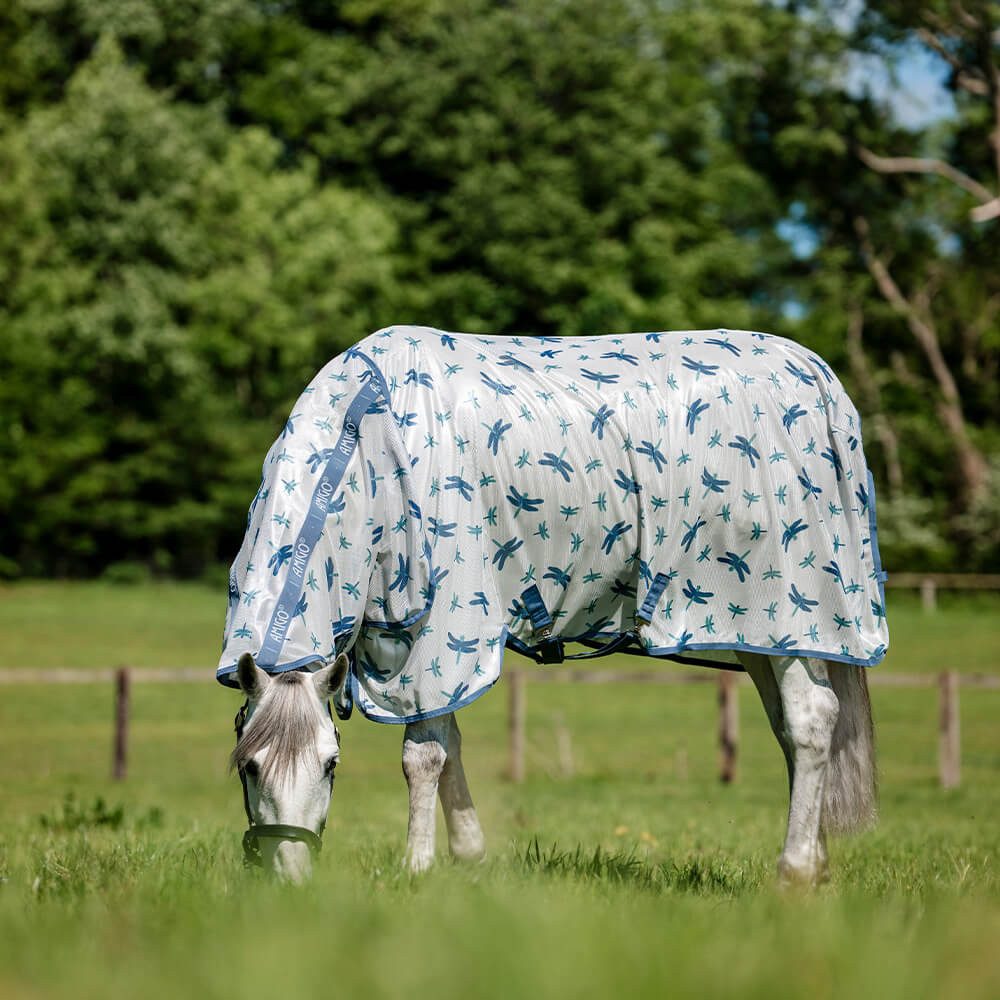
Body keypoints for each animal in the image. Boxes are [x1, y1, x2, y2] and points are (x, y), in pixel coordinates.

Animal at [220, 326, 886, 884]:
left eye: (330, 765)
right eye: (248, 766)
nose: (291, 878)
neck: (369, 441)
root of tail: (818, 376)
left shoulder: (441, 633)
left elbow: (424, 756)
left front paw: (417, 869)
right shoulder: (410, 647)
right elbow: (448, 742)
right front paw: (468, 858)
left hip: (794, 615)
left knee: (810, 721)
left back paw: (795, 873)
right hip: (757, 635)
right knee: (789, 729)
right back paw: (817, 865)